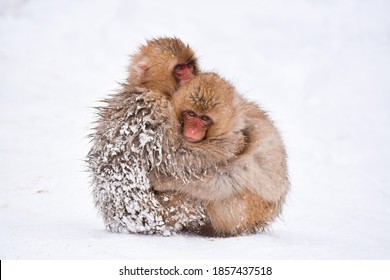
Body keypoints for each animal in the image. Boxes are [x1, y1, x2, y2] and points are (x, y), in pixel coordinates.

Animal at [87, 36, 207, 234]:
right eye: (180, 68)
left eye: (190, 66)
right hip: (172, 210)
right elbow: (175, 162)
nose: (191, 76)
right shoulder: (156, 112)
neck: (152, 89)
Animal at [152, 72, 290, 236]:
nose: (192, 131)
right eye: (191, 114)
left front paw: (164, 180)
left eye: (204, 118)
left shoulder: (234, 140)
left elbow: (226, 180)